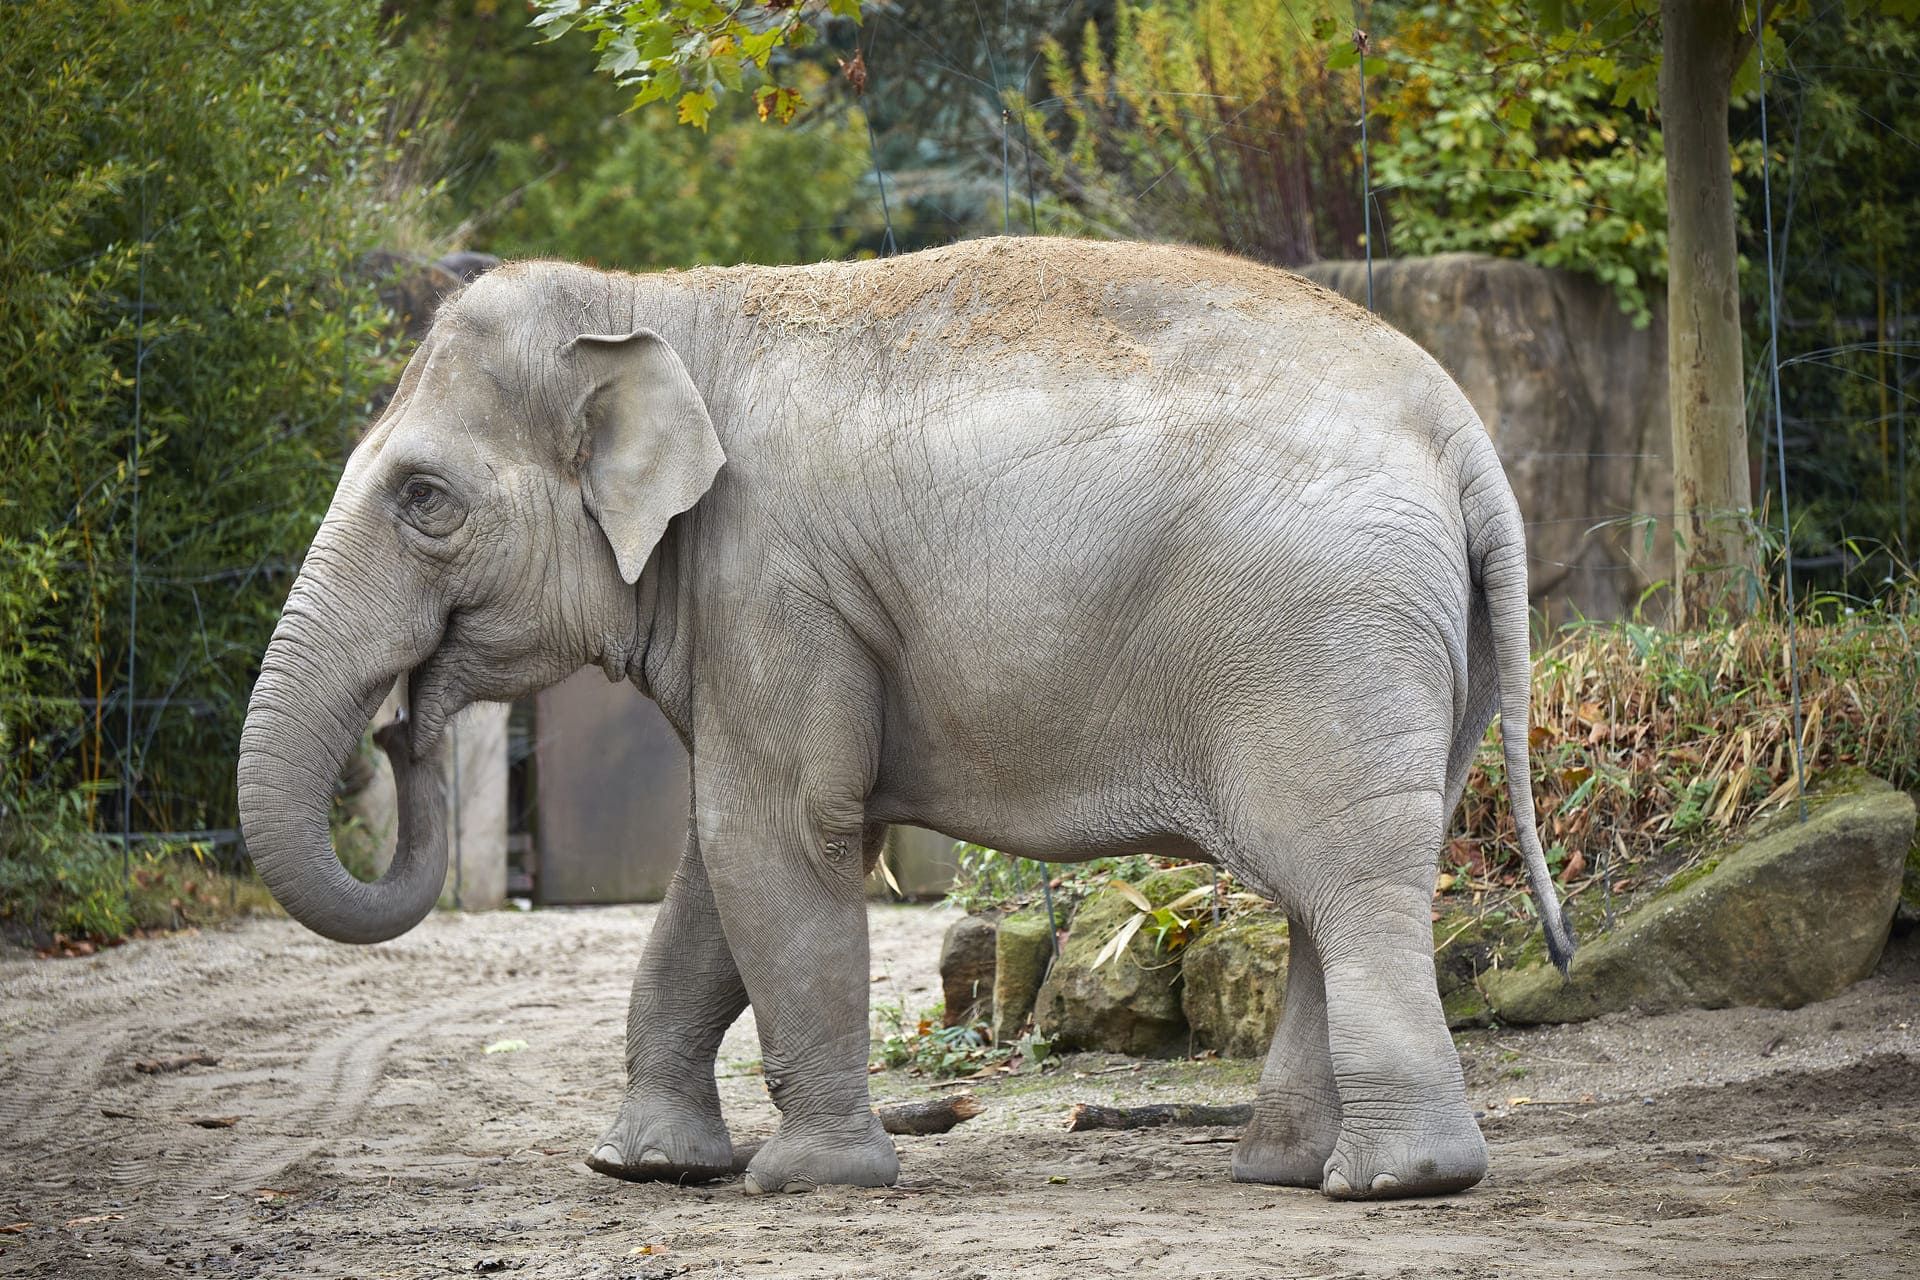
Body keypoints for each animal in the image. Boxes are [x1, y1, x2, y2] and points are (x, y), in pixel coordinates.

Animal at [237, 236, 1573, 1201]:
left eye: (424, 498)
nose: (404, 726)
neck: (657, 302)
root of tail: (1463, 433)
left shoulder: (774, 581)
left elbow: (774, 836)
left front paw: (807, 1181)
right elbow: (712, 871)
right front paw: (647, 1167)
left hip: (1328, 636)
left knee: (1349, 881)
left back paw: (1394, 1182)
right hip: (1419, 654)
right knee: (1331, 890)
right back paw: (1282, 1170)